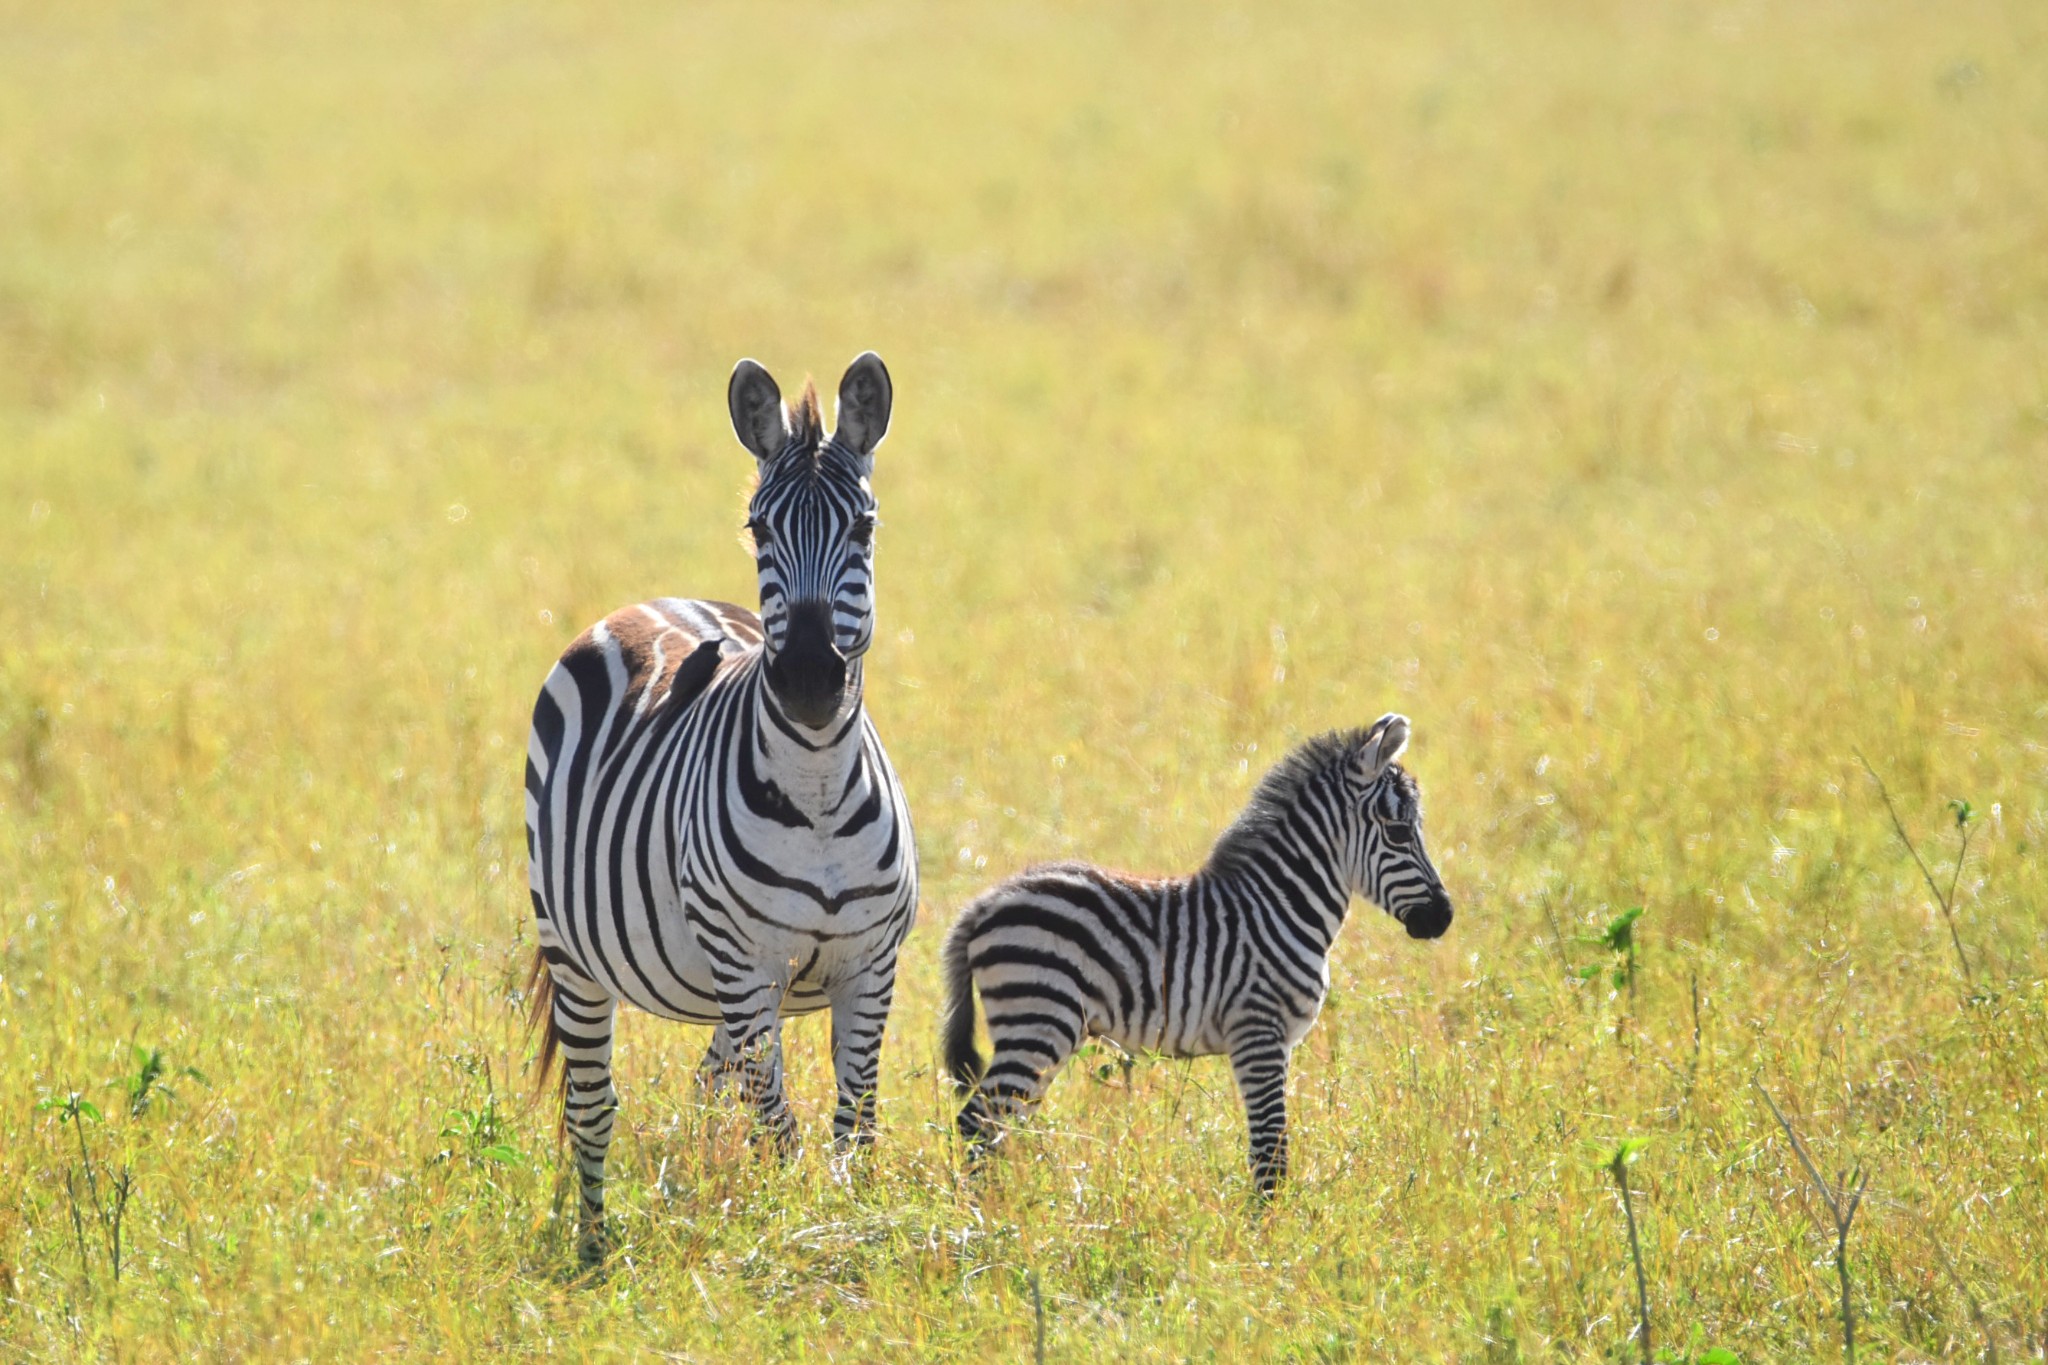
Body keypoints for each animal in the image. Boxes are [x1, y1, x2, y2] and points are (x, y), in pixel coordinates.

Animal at [942, 720, 1458, 1186]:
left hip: (1040, 1029)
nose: (1445, 917)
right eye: (1398, 832)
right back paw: (983, 1217)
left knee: (996, 1126)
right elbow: (1270, 1151)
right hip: (1038, 1019)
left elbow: (1270, 1146)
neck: (1279, 904)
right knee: (976, 1123)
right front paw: (1266, 1229)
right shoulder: (1257, 1031)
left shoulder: (1277, 1043)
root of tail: (987, 901)